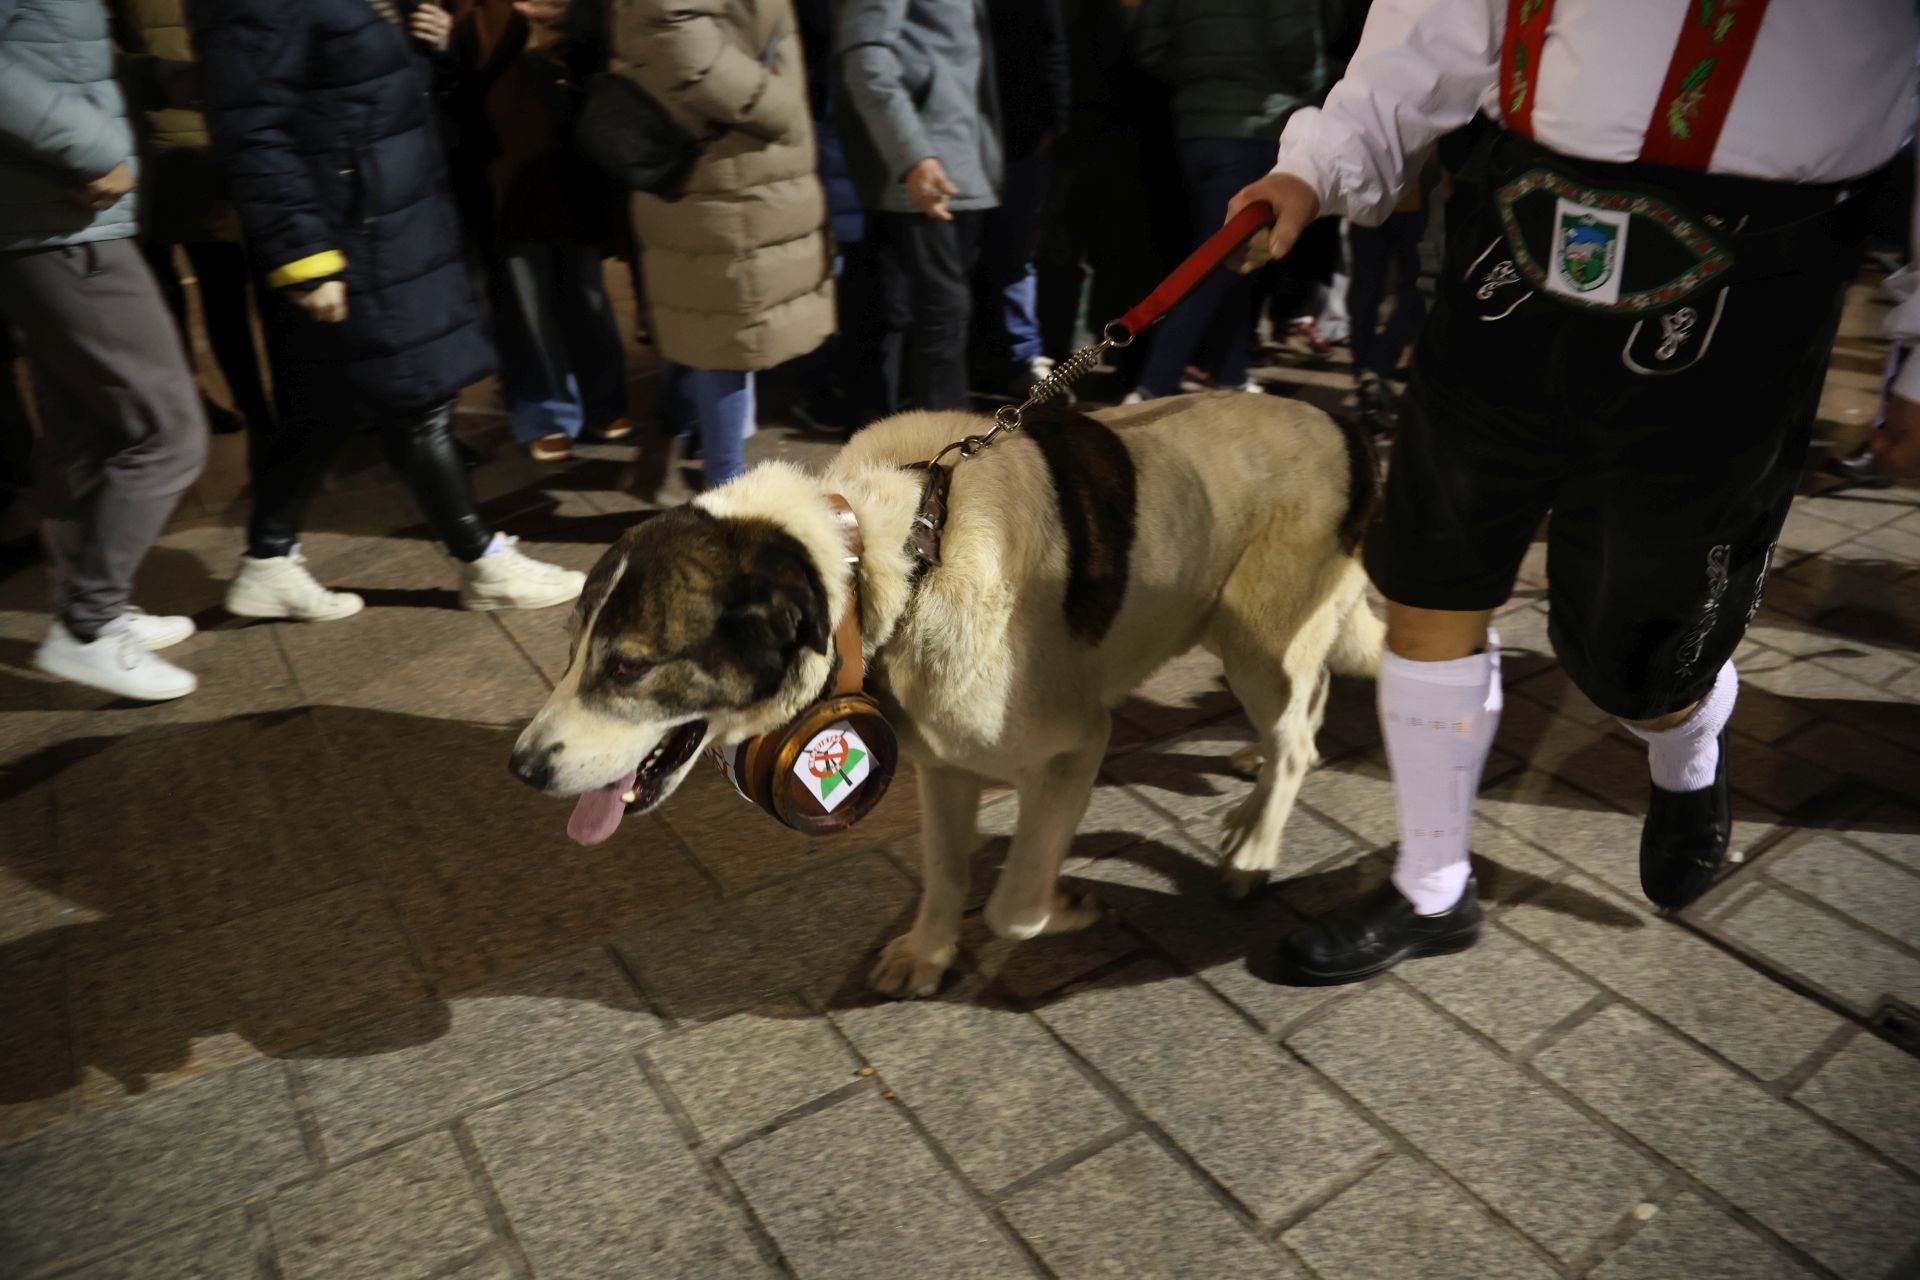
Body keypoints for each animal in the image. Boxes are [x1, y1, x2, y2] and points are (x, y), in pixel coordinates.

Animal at [510, 395, 1382, 997]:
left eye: (629, 668)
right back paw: (1252, 775)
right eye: (573, 649)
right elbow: (947, 870)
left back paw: (1256, 850)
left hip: (1258, 641)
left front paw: (1064, 907)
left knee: (1299, 739)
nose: (521, 769)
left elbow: (1013, 903)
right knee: (1305, 709)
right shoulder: (942, 764)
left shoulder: (1074, 749)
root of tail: (1345, 421)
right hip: (1258, 639)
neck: (895, 561)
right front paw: (930, 951)